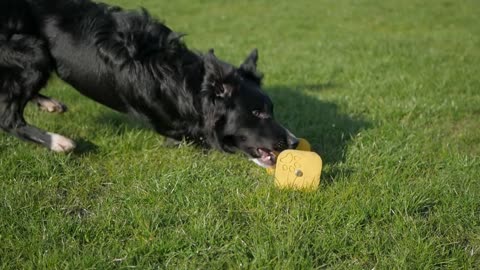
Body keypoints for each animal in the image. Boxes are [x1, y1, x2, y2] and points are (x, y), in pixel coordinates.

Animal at [0, 0, 298, 167]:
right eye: (257, 113)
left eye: (272, 111)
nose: (294, 142)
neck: (185, 82)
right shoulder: (174, 126)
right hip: (34, 50)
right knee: (8, 117)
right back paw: (58, 142)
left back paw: (49, 104)